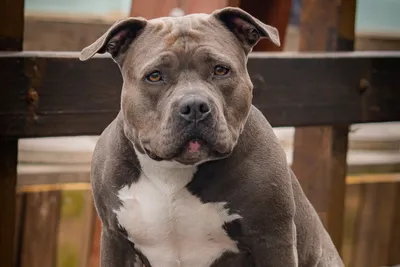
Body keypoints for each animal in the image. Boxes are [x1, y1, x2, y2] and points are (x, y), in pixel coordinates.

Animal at [80, 6, 344, 267]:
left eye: (220, 70)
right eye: (154, 76)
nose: (194, 106)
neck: (172, 173)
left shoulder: (273, 240)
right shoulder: (115, 239)